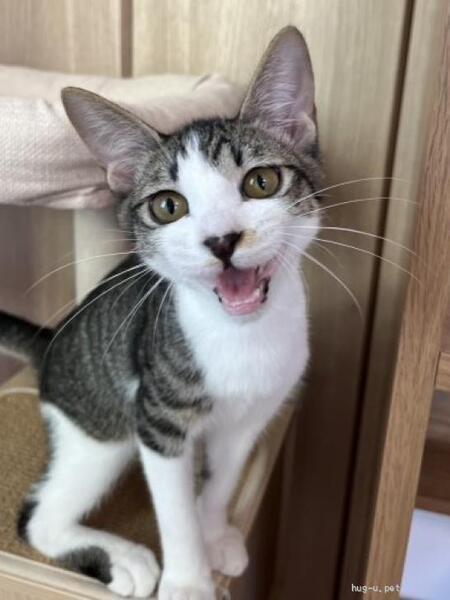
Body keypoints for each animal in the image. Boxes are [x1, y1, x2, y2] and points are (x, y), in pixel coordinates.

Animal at [0, 26, 322, 600]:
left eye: (261, 182)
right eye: (168, 206)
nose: (222, 239)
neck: (240, 337)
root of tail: (52, 338)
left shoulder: (254, 414)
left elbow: (222, 480)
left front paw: (215, 534)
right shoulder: (156, 416)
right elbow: (174, 511)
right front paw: (190, 580)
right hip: (97, 429)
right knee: (37, 517)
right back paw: (122, 558)